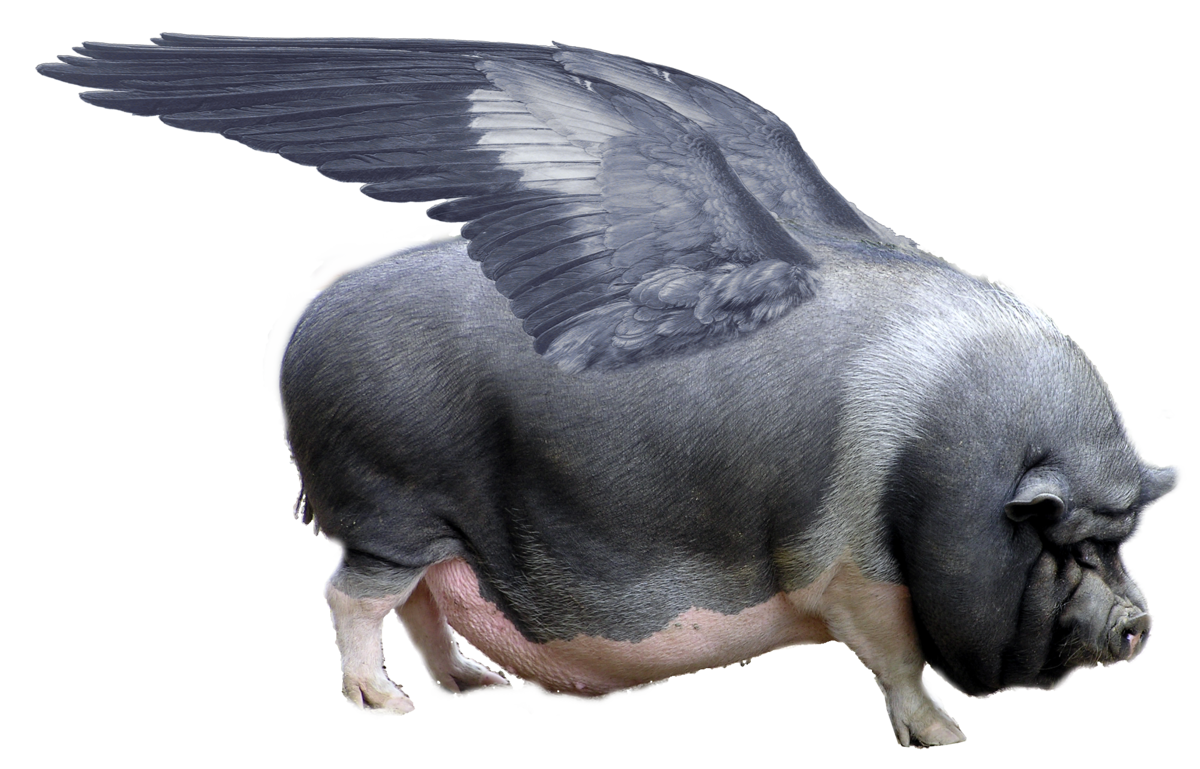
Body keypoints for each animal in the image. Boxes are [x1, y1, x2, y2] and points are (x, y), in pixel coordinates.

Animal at [36, 35, 1184, 747]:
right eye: (1060, 541)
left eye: (1123, 538)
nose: (1138, 624)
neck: (930, 465)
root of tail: (321, 295)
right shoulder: (848, 568)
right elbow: (894, 659)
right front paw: (945, 737)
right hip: (383, 495)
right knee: (351, 595)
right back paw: (387, 708)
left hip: (432, 520)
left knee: (420, 599)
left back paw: (475, 690)